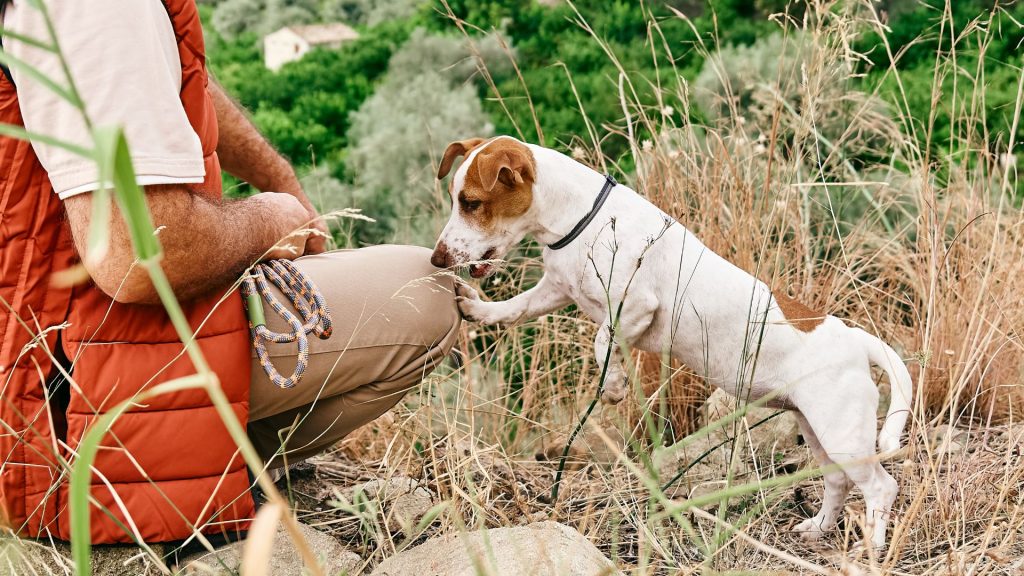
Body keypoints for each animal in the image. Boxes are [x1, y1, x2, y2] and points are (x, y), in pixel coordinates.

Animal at [430, 134, 913, 545]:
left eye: (471, 202)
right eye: (455, 200)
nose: (437, 259)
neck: (581, 219)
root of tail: (856, 339)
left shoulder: (634, 306)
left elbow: (602, 341)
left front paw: (613, 386)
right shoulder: (555, 290)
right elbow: (515, 308)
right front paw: (479, 309)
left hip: (843, 432)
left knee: (881, 487)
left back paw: (872, 545)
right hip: (816, 428)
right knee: (837, 481)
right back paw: (819, 527)